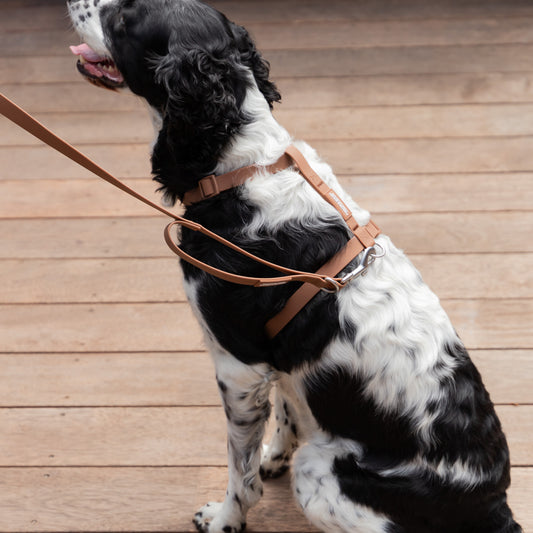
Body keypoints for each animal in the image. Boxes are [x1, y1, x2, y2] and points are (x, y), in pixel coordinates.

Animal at [66, 2, 520, 528]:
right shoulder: (277, 358)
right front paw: (272, 457)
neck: (238, 167)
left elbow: (239, 470)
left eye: (124, 19)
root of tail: (494, 504)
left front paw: (225, 518)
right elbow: (286, 406)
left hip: (320, 470)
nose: (72, 3)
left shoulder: (237, 365)